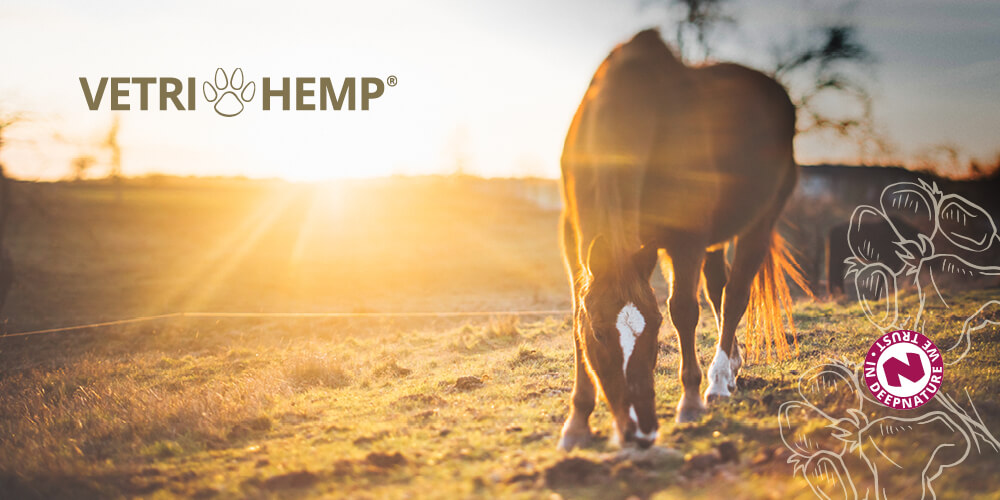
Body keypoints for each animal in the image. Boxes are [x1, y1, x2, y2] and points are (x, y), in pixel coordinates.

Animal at [558, 29, 808, 450]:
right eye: (600, 333)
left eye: (655, 329)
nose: (641, 432)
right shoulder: (573, 234)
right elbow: (578, 315)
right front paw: (577, 421)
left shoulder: (686, 238)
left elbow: (684, 311)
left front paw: (690, 401)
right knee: (718, 286)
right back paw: (732, 365)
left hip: (759, 222)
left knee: (734, 295)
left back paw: (719, 381)